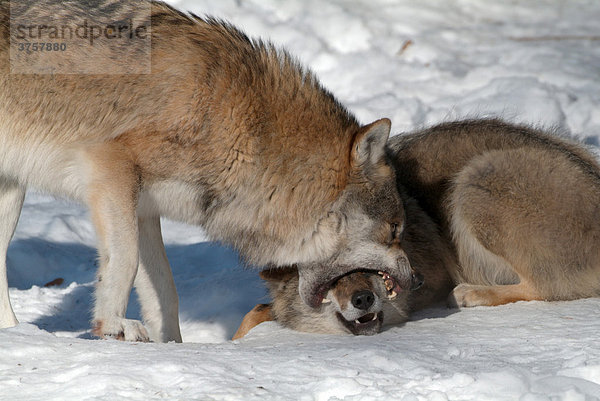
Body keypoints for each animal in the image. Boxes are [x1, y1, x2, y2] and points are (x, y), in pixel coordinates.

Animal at [1, 1, 422, 342]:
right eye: (395, 231)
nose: (416, 279)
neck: (238, 121)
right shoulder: (111, 170)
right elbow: (125, 261)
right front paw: (113, 327)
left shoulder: (144, 208)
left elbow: (164, 292)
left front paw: (172, 349)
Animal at [233, 119, 600, 338]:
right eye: (331, 279)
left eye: (368, 268)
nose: (362, 299)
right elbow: (256, 312)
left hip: (476, 178)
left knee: (546, 286)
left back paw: (472, 293)